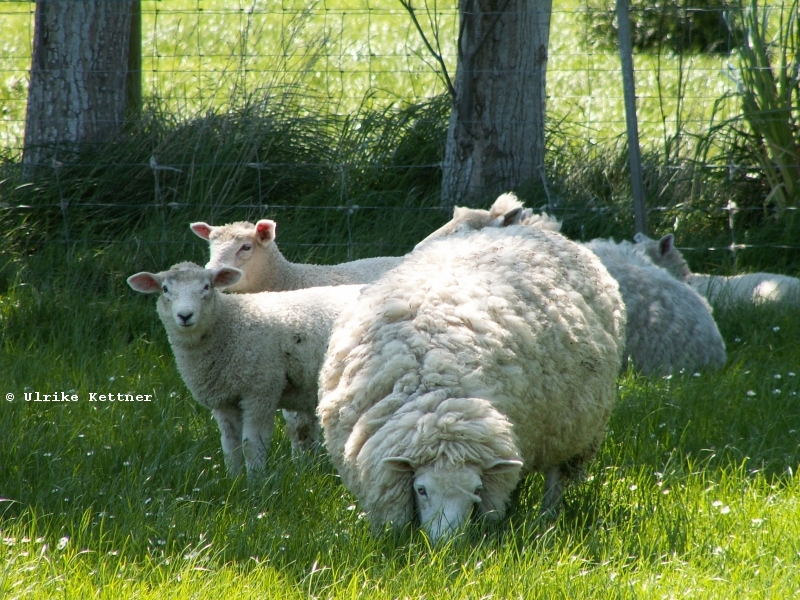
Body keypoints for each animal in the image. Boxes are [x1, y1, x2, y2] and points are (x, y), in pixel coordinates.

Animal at [126, 262, 362, 482]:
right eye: (165, 289)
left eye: (206, 287)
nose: (185, 315)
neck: (230, 324)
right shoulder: (224, 399)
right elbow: (230, 446)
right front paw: (233, 481)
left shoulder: (260, 391)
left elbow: (251, 445)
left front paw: (255, 485)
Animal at [316, 226, 628, 544]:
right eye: (421, 489)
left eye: (476, 490)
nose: (447, 544)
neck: (437, 397)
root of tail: (540, 230)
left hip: (571, 426)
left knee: (556, 476)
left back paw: (547, 518)